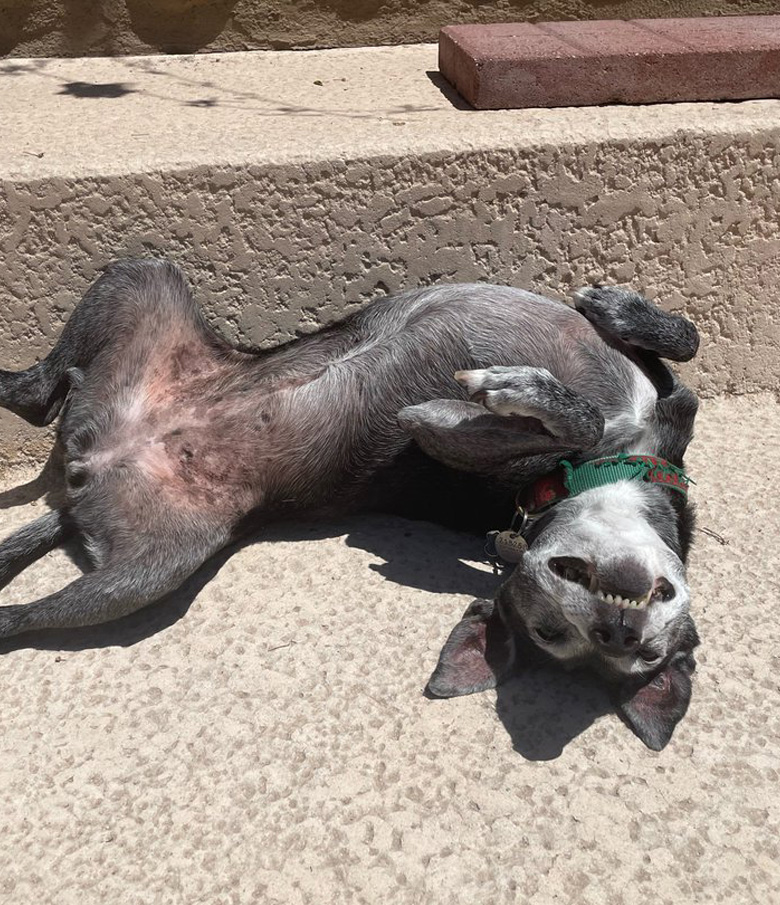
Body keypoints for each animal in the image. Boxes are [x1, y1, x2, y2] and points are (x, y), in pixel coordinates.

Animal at [0, 260, 700, 748]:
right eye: (553, 633)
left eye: (646, 658)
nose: (620, 630)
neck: (626, 460)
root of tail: (86, 469)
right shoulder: (664, 406)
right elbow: (684, 351)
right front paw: (617, 310)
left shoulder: (453, 444)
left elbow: (554, 419)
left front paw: (515, 392)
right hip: (145, 279)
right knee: (36, 390)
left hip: (150, 570)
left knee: (26, 613)